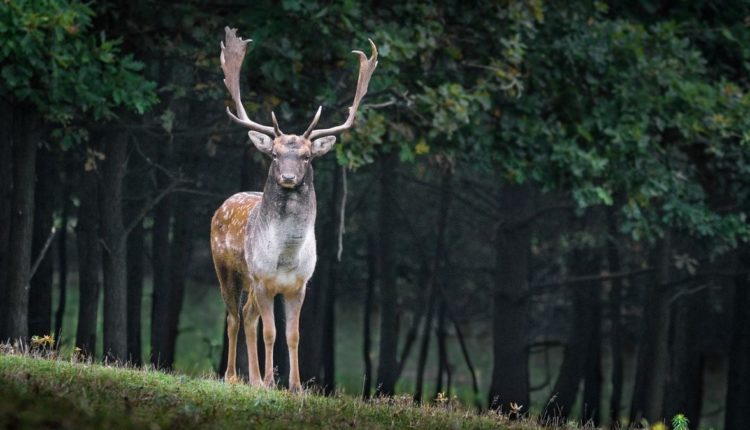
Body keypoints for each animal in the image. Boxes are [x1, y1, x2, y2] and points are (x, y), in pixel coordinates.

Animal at [210, 25, 376, 392]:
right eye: (274, 154)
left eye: (307, 156)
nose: (287, 177)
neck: (285, 257)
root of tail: (223, 204)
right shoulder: (263, 280)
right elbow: (271, 333)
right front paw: (271, 382)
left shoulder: (299, 285)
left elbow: (293, 335)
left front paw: (296, 386)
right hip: (227, 269)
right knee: (233, 316)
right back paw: (233, 376)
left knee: (247, 316)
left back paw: (253, 378)